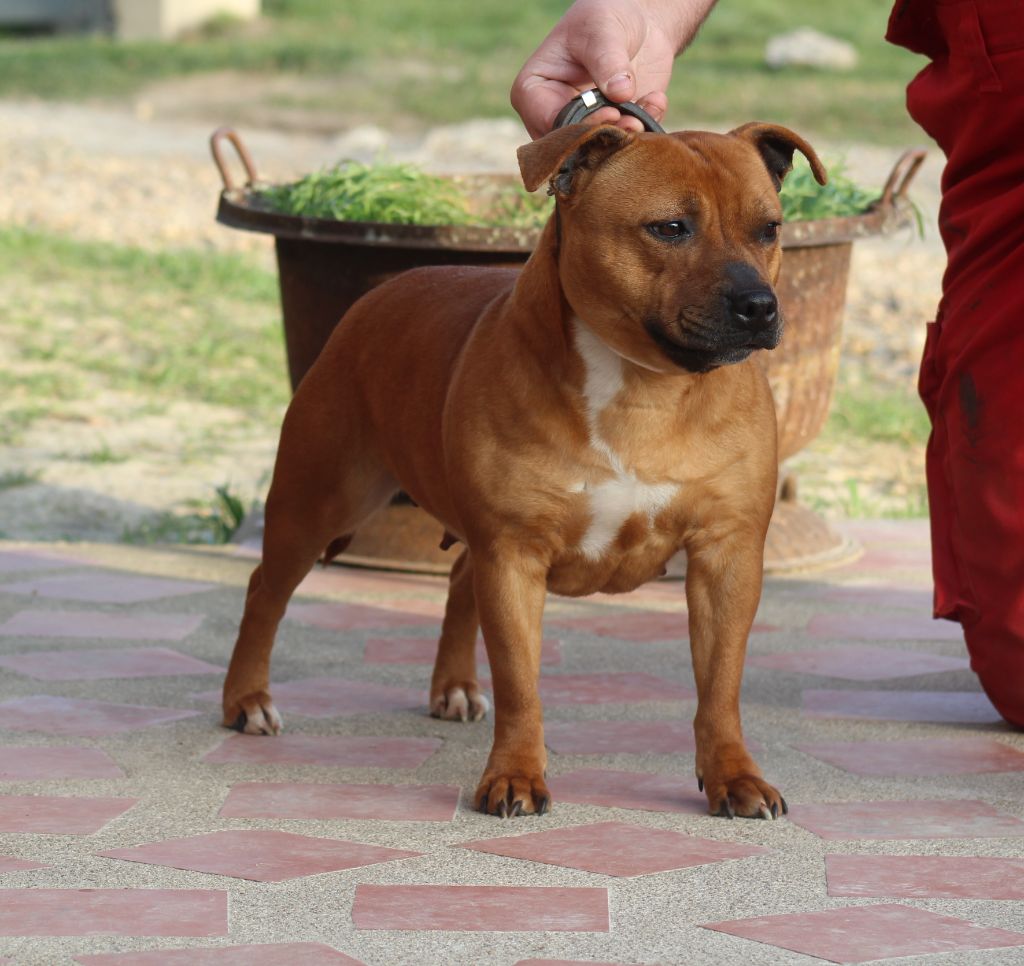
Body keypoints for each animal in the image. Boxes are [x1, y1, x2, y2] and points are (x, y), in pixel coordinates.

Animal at [222, 118, 823, 815]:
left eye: (769, 228)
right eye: (671, 227)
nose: (759, 305)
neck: (644, 387)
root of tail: (380, 294)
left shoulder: (727, 552)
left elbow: (721, 683)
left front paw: (734, 776)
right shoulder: (512, 552)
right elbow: (519, 683)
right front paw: (514, 775)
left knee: (458, 580)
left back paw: (453, 687)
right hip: (317, 501)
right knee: (265, 590)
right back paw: (246, 701)